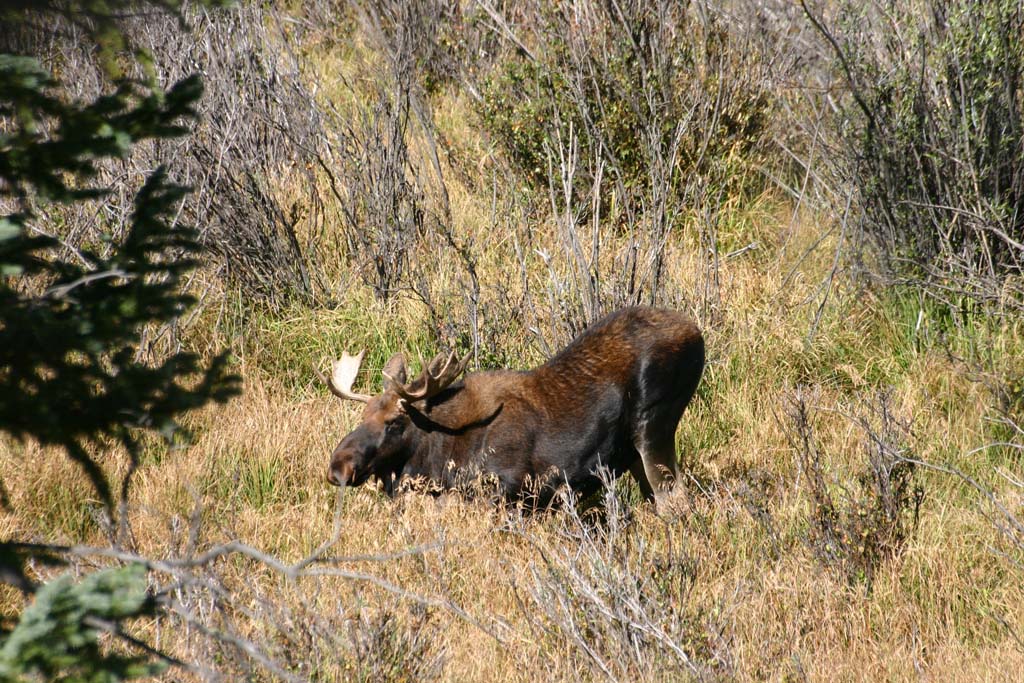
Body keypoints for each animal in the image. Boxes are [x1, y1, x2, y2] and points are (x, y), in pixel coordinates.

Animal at [319, 307, 704, 509]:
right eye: (363, 415)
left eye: (395, 422)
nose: (339, 467)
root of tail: (697, 333)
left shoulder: (509, 491)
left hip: (655, 428)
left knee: (677, 500)